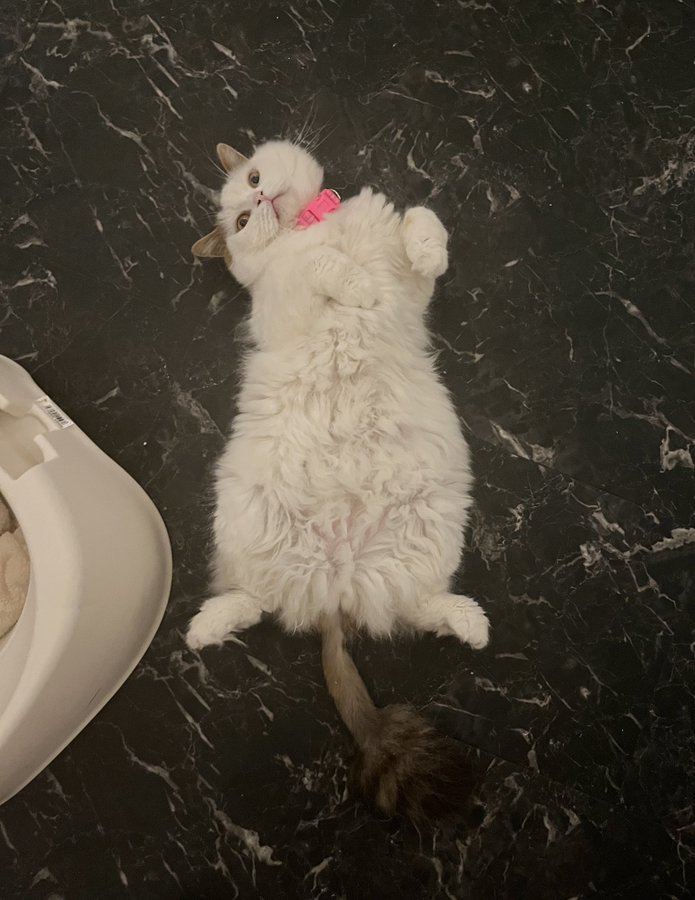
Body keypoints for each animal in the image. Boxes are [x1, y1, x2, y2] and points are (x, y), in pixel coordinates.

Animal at [186, 139, 489, 823]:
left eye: (254, 177)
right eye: (240, 221)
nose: (261, 201)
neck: (308, 225)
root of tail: (337, 582)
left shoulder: (412, 288)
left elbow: (424, 225)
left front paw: (420, 247)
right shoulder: (291, 298)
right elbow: (324, 270)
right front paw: (352, 283)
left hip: (428, 532)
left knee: (417, 608)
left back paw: (474, 625)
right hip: (247, 523)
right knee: (255, 600)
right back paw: (203, 631)